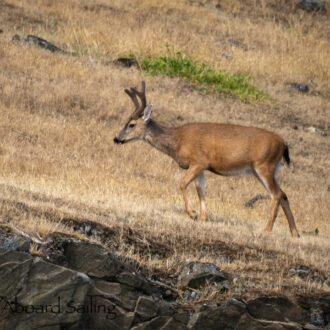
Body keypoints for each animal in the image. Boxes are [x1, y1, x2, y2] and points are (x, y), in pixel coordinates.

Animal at [113, 81, 300, 238]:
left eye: (131, 124)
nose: (116, 138)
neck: (177, 141)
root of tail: (284, 144)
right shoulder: (201, 167)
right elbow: (200, 190)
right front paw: (202, 218)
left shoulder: (199, 161)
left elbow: (182, 184)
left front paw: (192, 214)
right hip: (265, 169)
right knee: (283, 193)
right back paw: (295, 233)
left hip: (264, 165)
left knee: (276, 194)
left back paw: (267, 229)